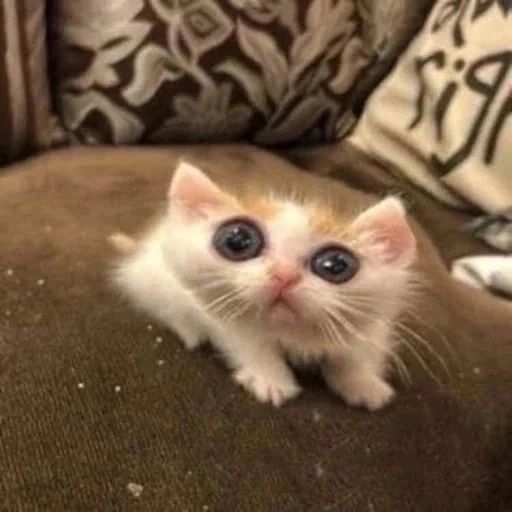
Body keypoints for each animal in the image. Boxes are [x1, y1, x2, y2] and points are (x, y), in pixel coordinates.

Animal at [114, 162, 418, 410]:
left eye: (335, 265)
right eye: (237, 240)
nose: (284, 275)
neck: (294, 333)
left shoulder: (372, 325)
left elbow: (356, 352)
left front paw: (364, 382)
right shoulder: (223, 314)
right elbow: (251, 343)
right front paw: (270, 379)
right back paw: (191, 333)